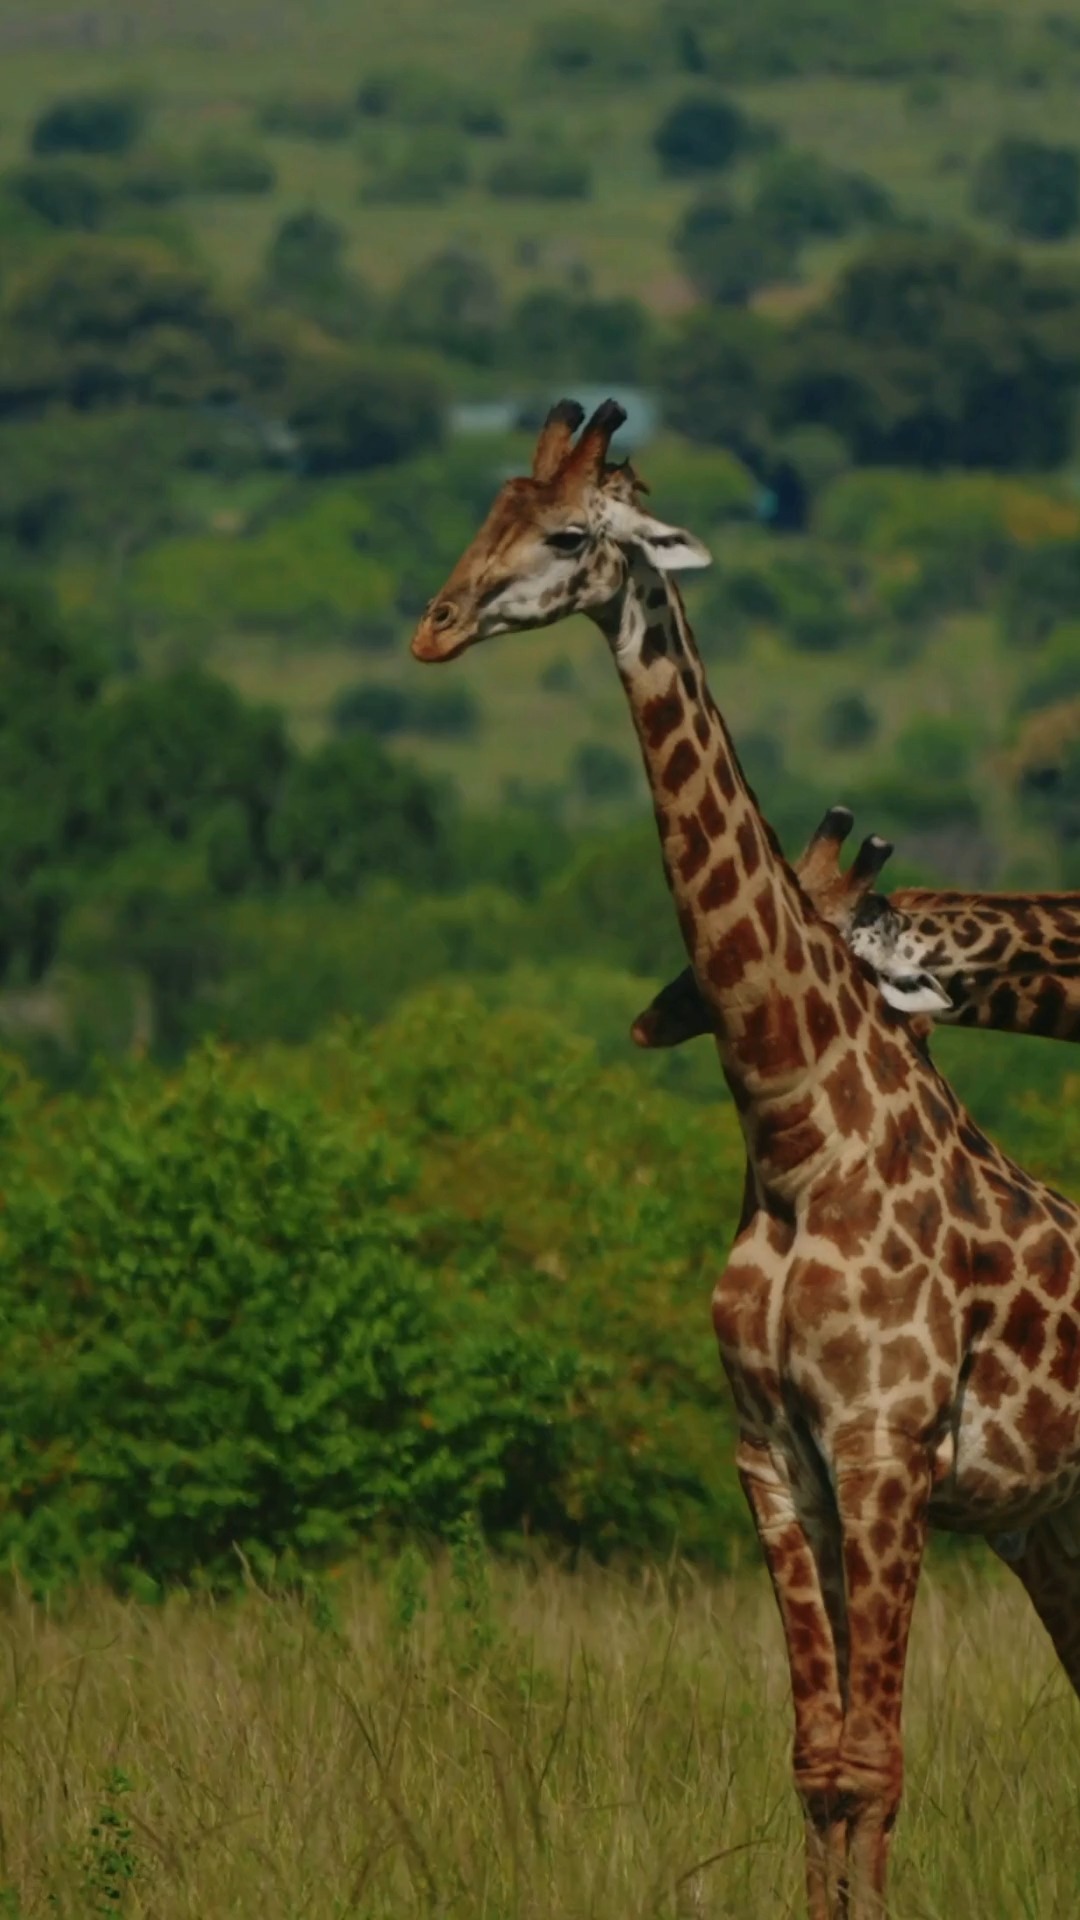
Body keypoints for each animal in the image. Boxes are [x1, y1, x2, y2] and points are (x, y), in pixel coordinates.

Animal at [411, 398, 1080, 1919]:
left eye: (569, 535)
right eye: (488, 508)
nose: (433, 627)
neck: (798, 1131)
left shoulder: (887, 1452)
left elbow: (873, 1764)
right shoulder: (777, 1462)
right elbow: (817, 1764)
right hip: (1056, 1523)